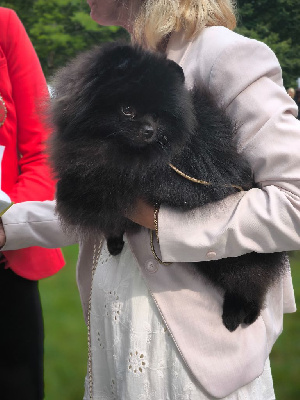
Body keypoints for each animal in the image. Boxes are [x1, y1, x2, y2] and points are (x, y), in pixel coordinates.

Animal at [50, 42, 288, 332]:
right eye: (127, 109)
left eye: (157, 115)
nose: (149, 130)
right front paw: (114, 238)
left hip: (233, 255)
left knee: (249, 279)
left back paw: (241, 311)